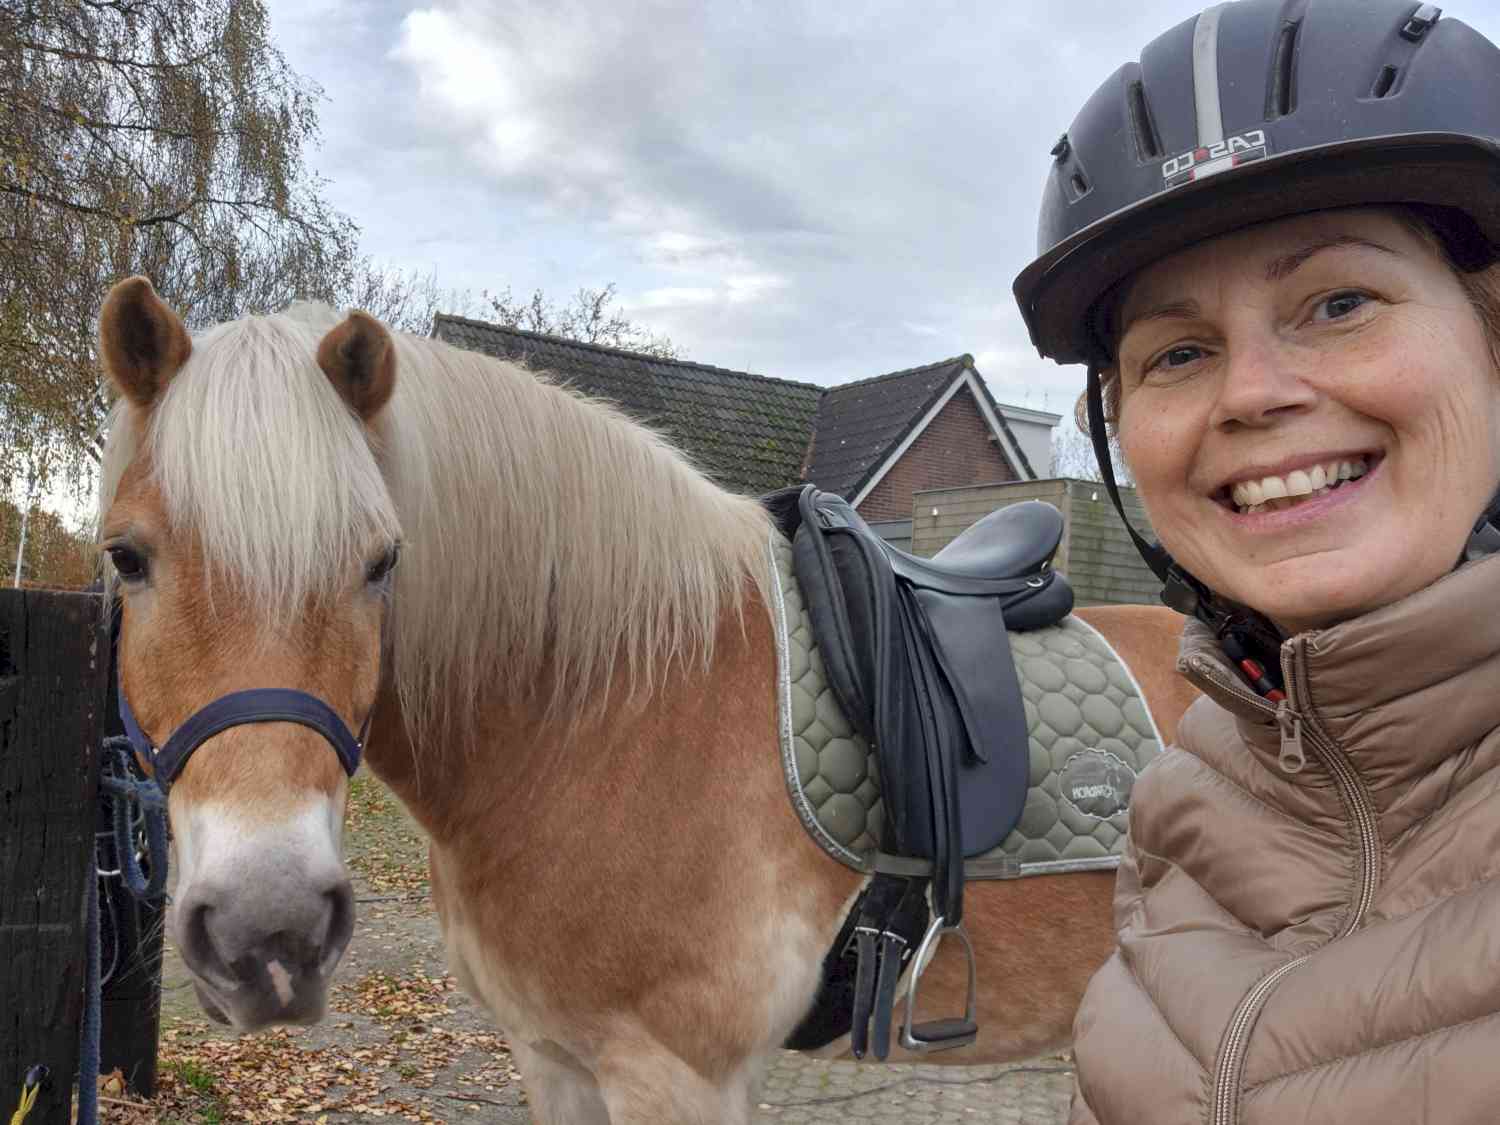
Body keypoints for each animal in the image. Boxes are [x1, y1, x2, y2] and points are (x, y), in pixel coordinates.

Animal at [96, 275, 1199, 1124]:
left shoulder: (674, 1075)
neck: (604, 713)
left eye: (381, 562)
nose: (268, 935)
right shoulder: (553, 1054)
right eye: (126, 557)